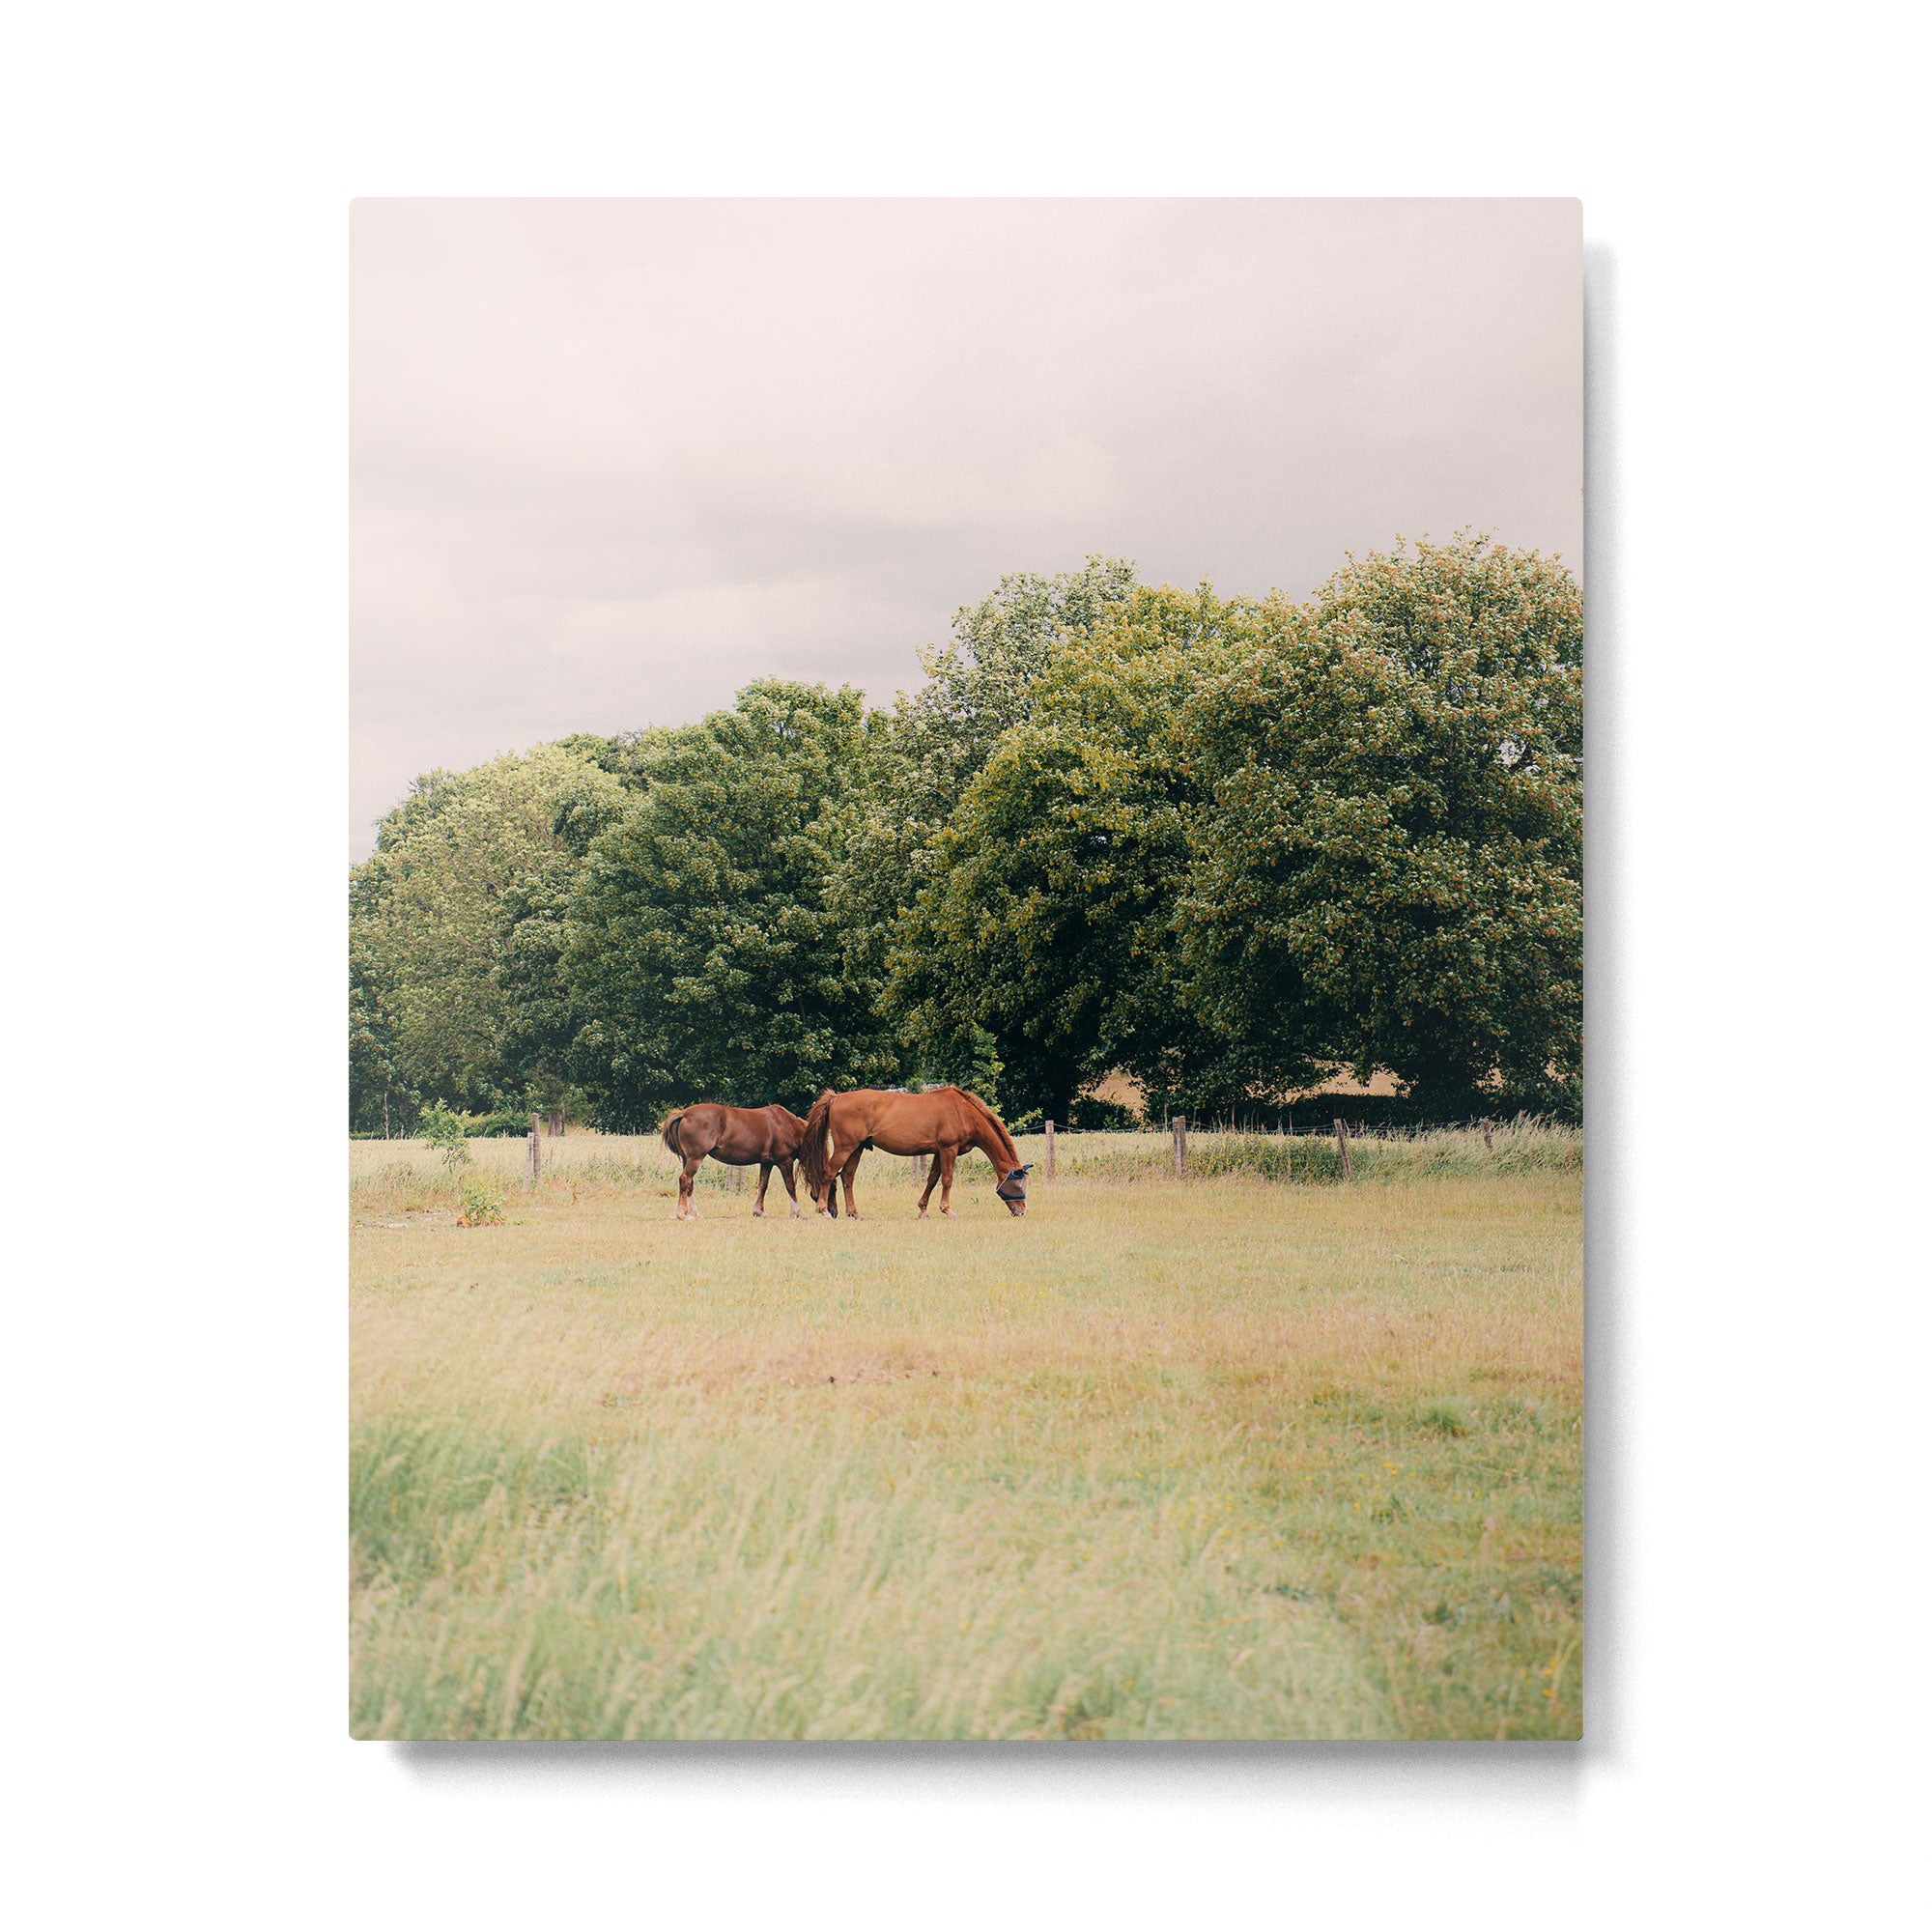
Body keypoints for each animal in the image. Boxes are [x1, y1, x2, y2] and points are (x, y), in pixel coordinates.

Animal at [660, 1103, 810, 1220]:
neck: (787, 1125)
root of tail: (684, 1114)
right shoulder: (785, 1161)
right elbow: (790, 1186)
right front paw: (799, 1212)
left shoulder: (767, 1163)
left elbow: (763, 1185)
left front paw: (759, 1212)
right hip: (695, 1159)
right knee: (685, 1179)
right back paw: (682, 1215)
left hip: (687, 1160)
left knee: (689, 1183)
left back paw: (694, 1213)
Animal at [797, 1087, 1031, 1220]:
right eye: (1018, 1185)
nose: (1021, 1211)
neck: (962, 1112)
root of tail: (836, 1098)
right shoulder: (948, 1149)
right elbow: (947, 1180)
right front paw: (947, 1210)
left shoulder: (938, 1152)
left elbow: (932, 1179)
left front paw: (923, 1210)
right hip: (846, 1147)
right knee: (829, 1173)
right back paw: (823, 1210)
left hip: (857, 1148)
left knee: (847, 1177)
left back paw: (854, 1213)